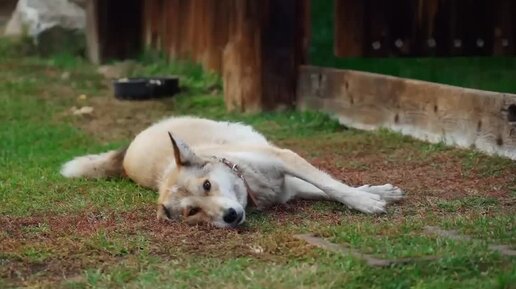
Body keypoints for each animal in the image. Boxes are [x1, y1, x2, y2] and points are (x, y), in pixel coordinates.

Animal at [61, 116, 404, 226]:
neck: (248, 184)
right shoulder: (287, 186)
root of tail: (127, 155)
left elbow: (332, 186)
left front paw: (370, 197)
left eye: (207, 186)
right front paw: (371, 197)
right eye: (192, 212)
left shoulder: (286, 162)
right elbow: (327, 188)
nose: (229, 217)